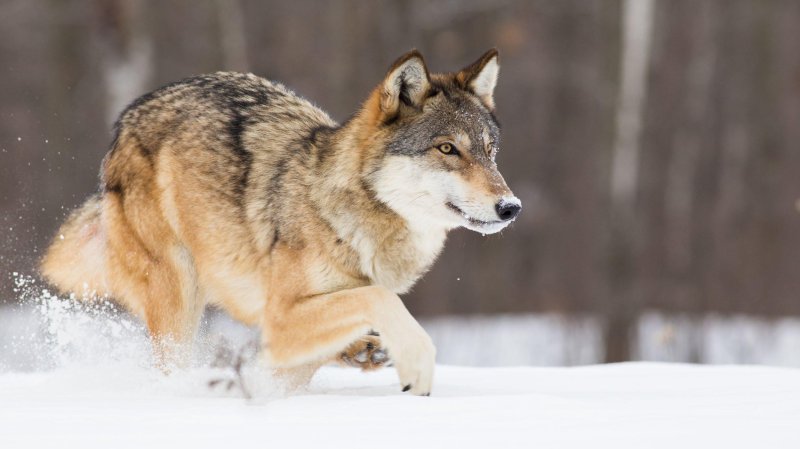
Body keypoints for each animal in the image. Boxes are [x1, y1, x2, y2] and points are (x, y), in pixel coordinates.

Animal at [40, 48, 520, 392]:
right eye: (447, 149)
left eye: (489, 151)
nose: (510, 207)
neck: (348, 216)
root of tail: (126, 118)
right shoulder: (281, 319)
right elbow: (379, 297)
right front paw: (417, 363)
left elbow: (362, 304)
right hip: (179, 293)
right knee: (174, 363)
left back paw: (360, 350)